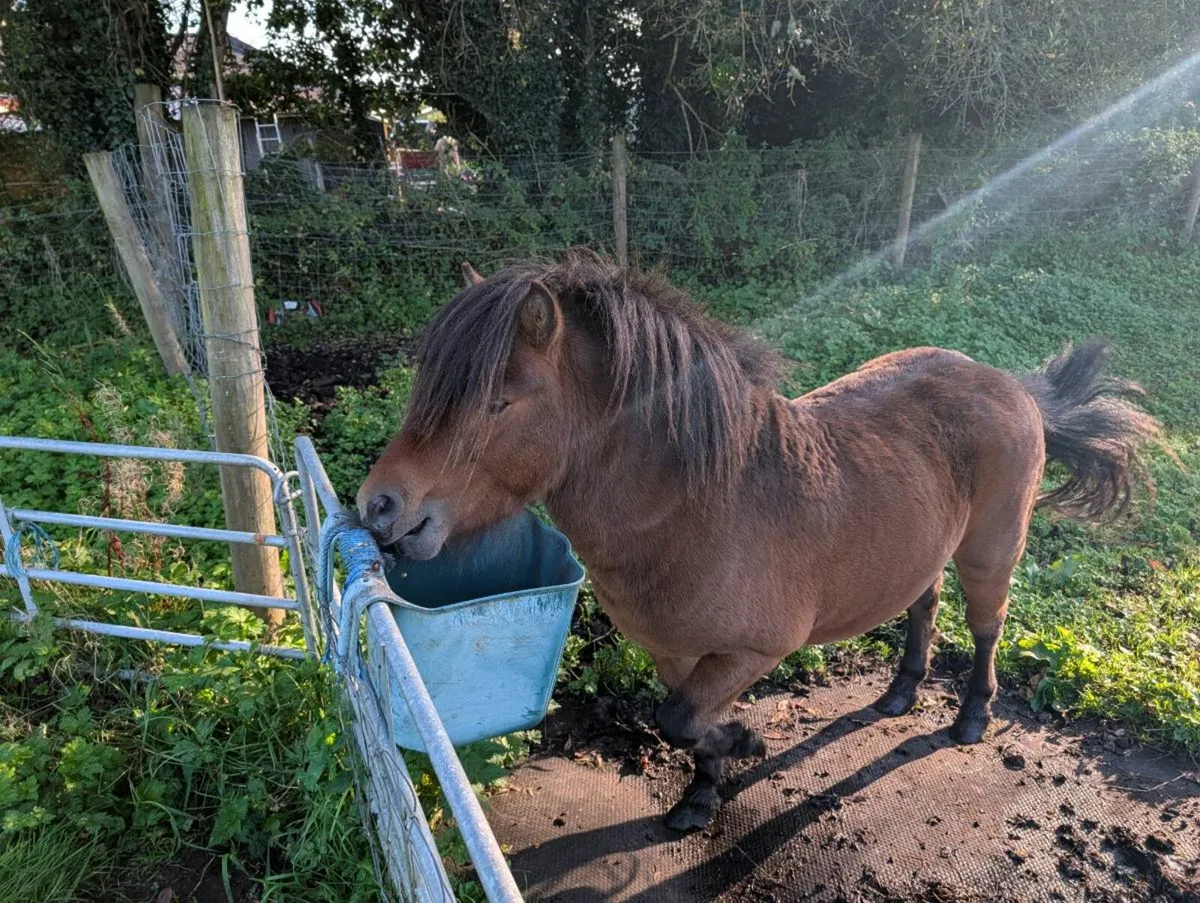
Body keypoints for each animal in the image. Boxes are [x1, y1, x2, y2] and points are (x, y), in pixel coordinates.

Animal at [356, 249, 1161, 832]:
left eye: (499, 401)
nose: (379, 506)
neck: (698, 506)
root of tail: (1011, 385)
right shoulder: (673, 650)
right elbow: (681, 720)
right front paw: (701, 795)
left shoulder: (753, 651)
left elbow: (680, 721)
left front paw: (743, 744)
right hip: (922, 550)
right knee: (922, 607)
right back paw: (900, 692)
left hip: (990, 553)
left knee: (986, 626)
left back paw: (971, 716)